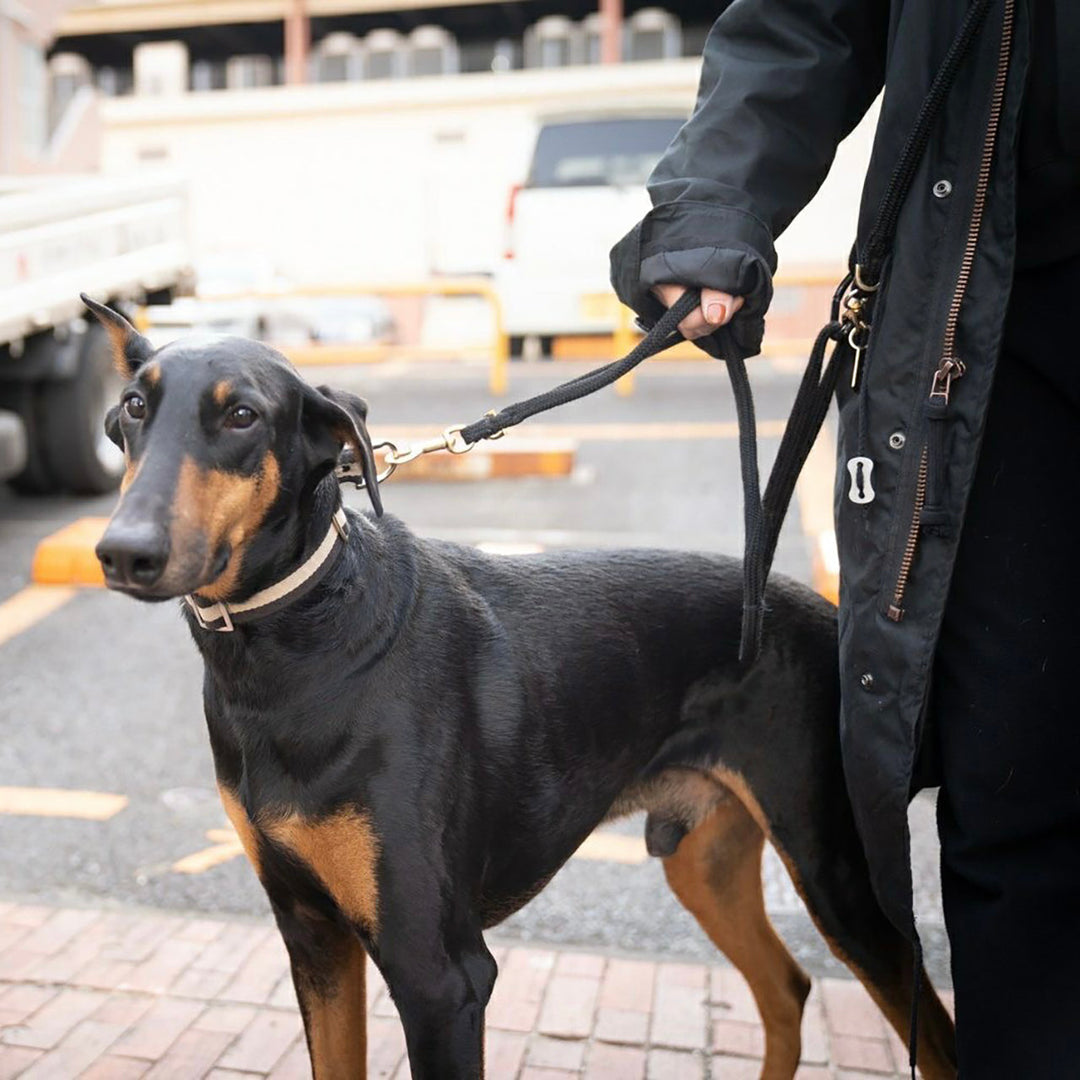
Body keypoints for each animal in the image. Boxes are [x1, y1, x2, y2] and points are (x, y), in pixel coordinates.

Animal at [84, 295, 954, 1080]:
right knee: (787, 987)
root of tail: (826, 615)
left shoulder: (441, 977)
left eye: (242, 416)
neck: (296, 647)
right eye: (133, 407)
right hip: (702, 859)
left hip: (838, 877)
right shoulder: (314, 939)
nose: (124, 551)